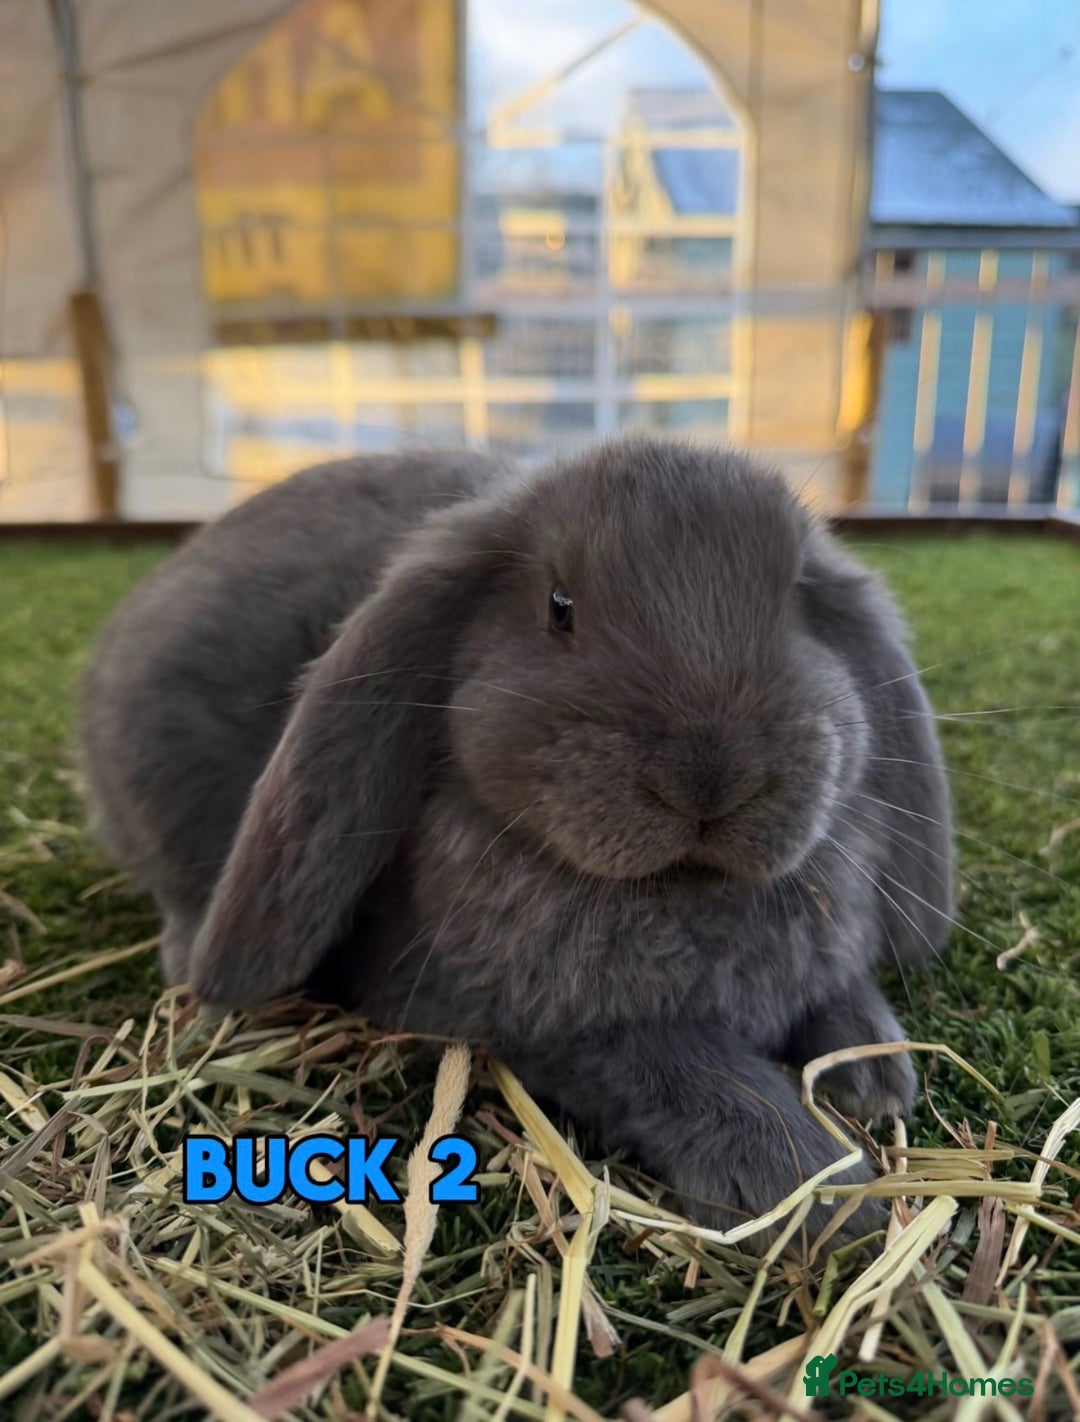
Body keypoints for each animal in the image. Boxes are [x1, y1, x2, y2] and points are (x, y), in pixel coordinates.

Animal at [80, 435, 953, 1243]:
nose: (711, 778)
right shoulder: (531, 1021)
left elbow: (840, 991)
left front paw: (876, 1073)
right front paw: (808, 1184)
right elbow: (684, 1066)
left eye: (799, 597)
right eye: (559, 606)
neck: (687, 891)